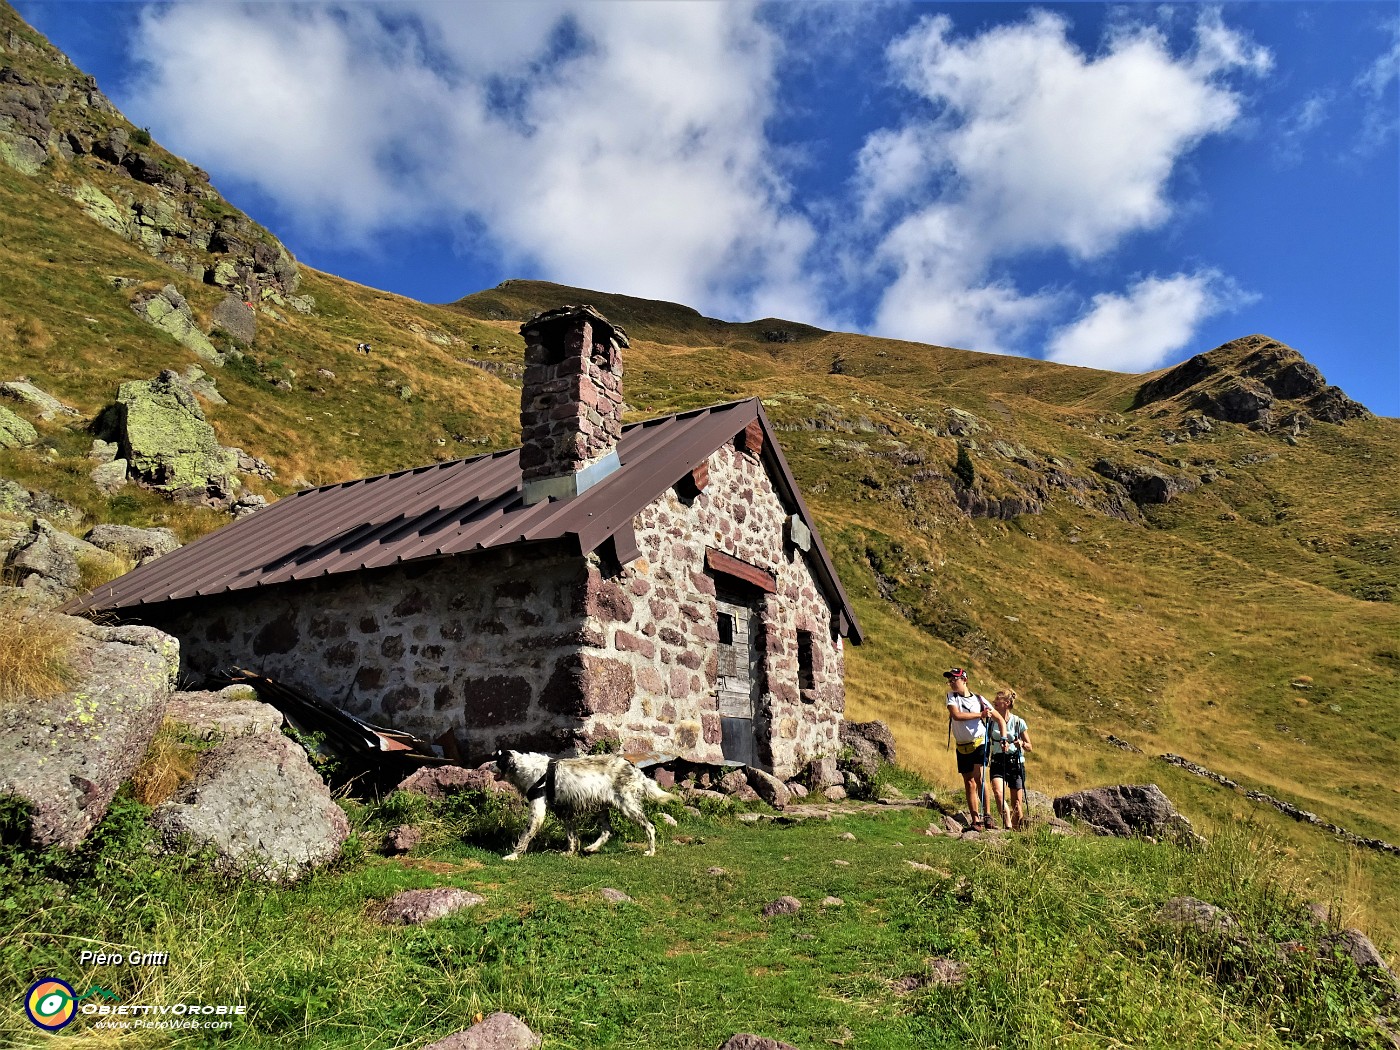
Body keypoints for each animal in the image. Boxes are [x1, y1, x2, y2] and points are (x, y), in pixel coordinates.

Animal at [498, 750, 677, 862]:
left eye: (497, 760)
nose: (490, 764)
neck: (527, 769)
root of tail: (634, 769)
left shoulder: (538, 813)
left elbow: (525, 836)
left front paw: (513, 856)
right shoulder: (566, 813)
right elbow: (572, 837)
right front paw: (569, 853)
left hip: (628, 807)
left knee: (650, 827)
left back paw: (651, 851)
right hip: (602, 808)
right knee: (607, 831)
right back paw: (591, 848)